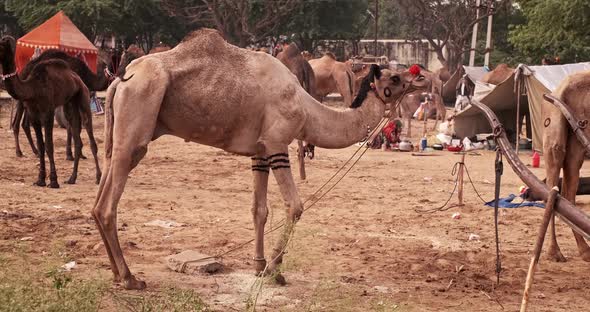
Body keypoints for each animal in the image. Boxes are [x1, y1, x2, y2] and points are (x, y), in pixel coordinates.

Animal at [95, 28, 426, 288]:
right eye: (395, 78)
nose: (421, 77)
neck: (307, 110)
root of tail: (119, 81)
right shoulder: (278, 144)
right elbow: (295, 206)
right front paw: (275, 269)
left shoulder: (260, 152)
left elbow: (259, 210)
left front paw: (258, 265)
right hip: (139, 113)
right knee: (109, 204)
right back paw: (130, 278)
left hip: (120, 136)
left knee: (99, 200)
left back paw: (116, 274)